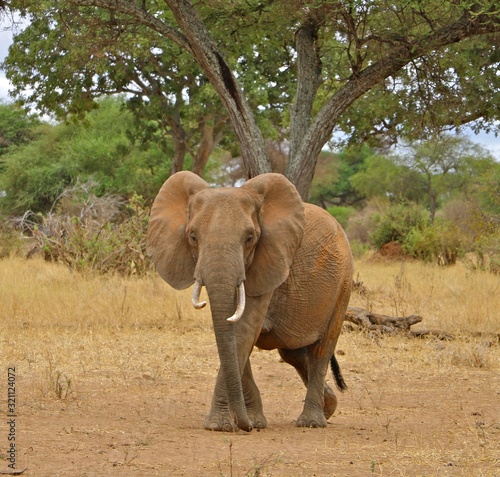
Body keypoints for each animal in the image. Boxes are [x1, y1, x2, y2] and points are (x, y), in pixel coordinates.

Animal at [146, 171, 354, 432]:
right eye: (193, 237)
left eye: (250, 238)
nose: (244, 426)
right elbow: (231, 332)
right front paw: (252, 421)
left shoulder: (270, 259)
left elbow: (244, 329)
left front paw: (220, 426)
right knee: (293, 354)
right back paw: (329, 407)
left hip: (343, 283)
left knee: (321, 349)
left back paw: (312, 422)